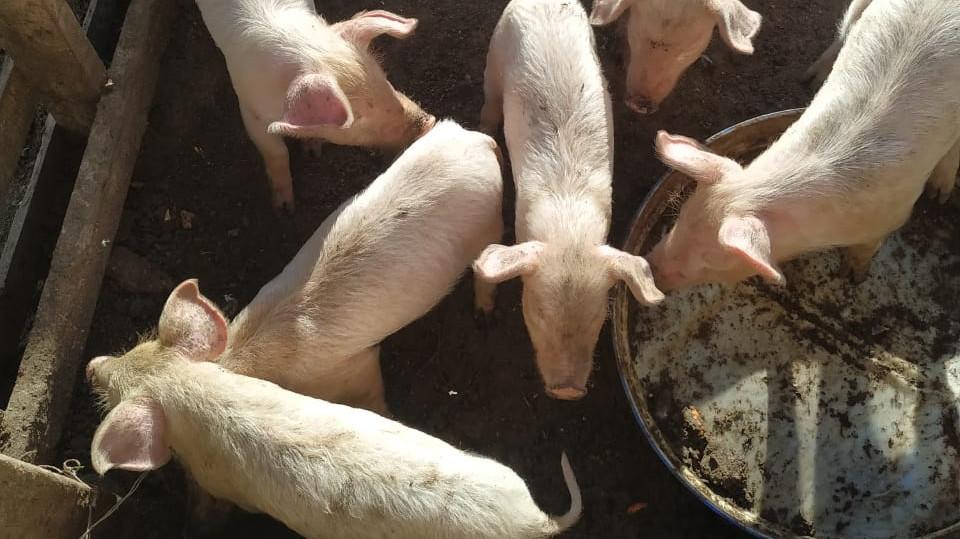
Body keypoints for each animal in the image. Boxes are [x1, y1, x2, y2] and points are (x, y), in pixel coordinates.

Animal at [85, 301, 583, 539]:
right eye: (139, 346)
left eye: (116, 392)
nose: (91, 365)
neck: (192, 393)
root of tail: (534, 520)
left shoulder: (221, 482)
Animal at [195, 0, 435, 210]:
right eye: (357, 117)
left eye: (384, 79)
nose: (429, 123)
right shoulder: (249, 110)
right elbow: (276, 152)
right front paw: (284, 208)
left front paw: (313, 153)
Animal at [475, 0, 664, 401]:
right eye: (538, 313)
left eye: (598, 317)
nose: (567, 391)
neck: (568, 225)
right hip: (496, 51)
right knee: (490, 100)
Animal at [646, 0, 960, 290]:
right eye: (680, 220)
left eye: (711, 260)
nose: (648, 268)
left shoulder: (893, 215)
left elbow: (866, 248)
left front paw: (853, 277)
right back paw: (813, 79)